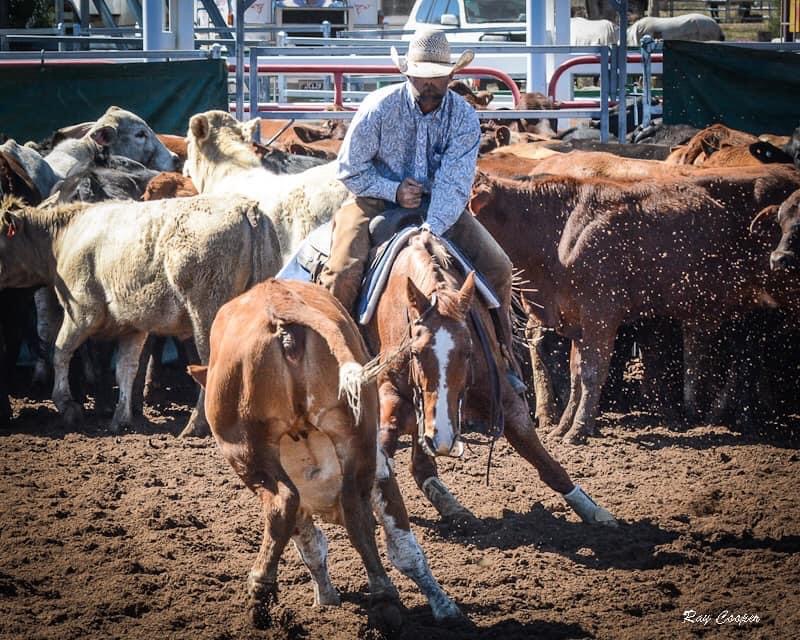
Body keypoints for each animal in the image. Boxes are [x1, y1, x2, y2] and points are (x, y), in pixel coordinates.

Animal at [0, 195, 282, 436]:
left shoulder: (82, 312)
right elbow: (126, 368)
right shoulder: (132, 326)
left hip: (207, 314)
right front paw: (121, 418)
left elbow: (60, 351)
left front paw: (67, 406)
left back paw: (196, 426)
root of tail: (246, 208)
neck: (66, 237)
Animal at [189, 279, 461, 630]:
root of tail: (279, 307)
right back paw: (381, 597)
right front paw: (328, 598)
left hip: (255, 449)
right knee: (341, 510)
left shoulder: (379, 469)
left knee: (297, 505)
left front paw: (443, 605)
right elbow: (316, 544)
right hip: (334, 446)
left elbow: (399, 547)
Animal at [361, 230, 616, 528]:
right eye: (414, 352)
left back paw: (452, 507)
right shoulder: (391, 393)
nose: (443, 437)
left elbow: (541, 457)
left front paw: (593, 511)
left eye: (469, 351)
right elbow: (384, 444)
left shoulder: (502, 397)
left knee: (422, 463)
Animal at [468, 166, 800, 443]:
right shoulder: (576, 320)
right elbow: (576, 374)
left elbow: (591, 373)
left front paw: (578, 430)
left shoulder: (601, 315)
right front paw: (563, 426)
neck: (561, 226)